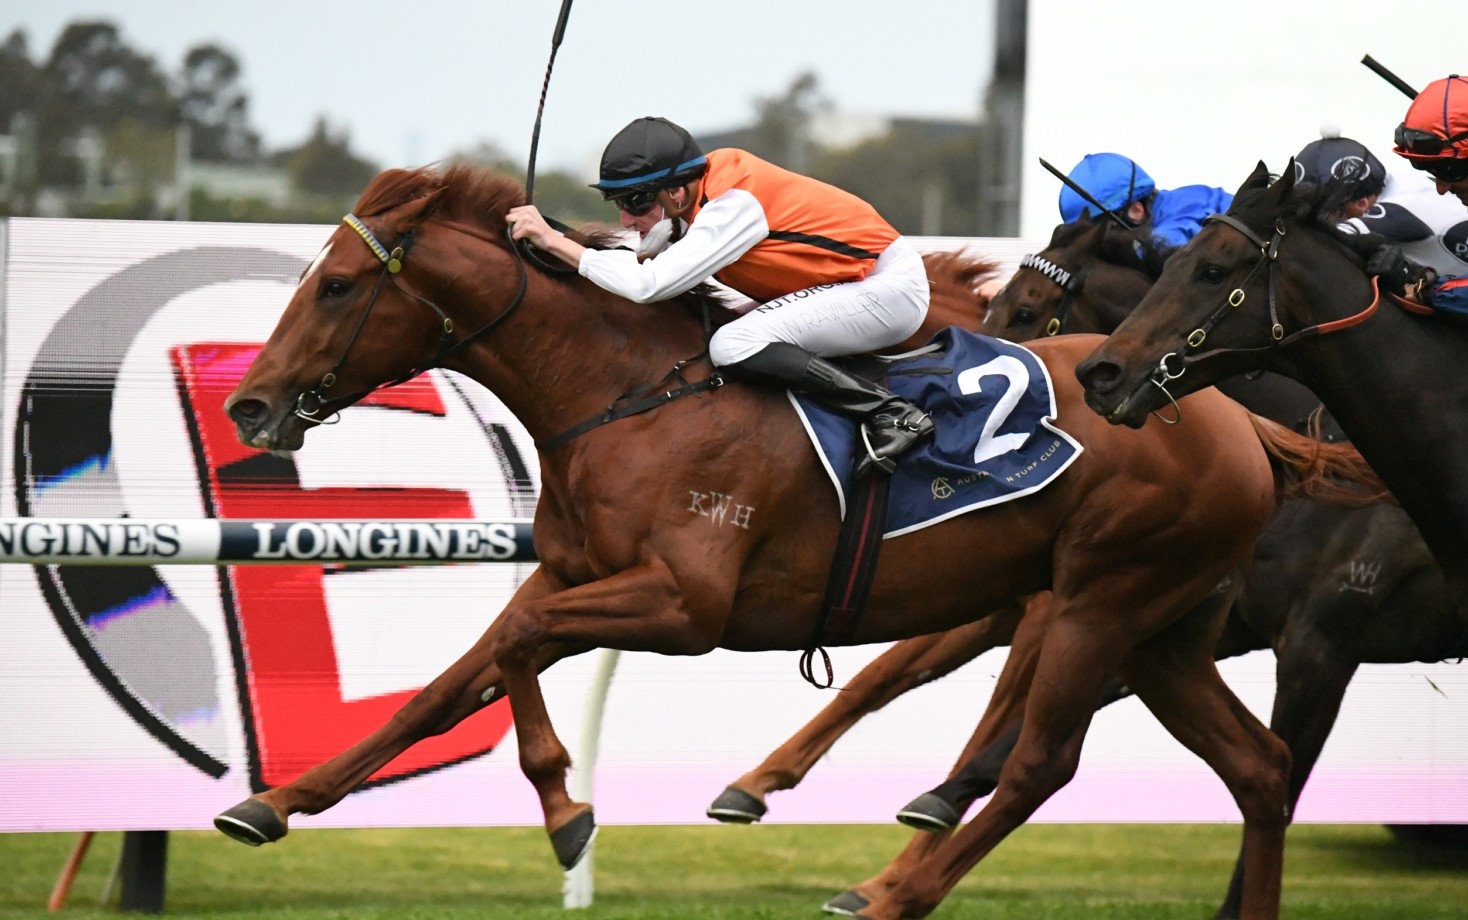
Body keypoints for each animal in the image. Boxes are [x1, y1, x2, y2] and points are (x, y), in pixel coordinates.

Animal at [214, 163, 1380, 920]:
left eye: (337, 285)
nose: (251, 405)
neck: (625, 394)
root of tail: (1235, 418)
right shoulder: (572, 572)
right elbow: (456, 680)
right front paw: (272, 802)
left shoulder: (683, 604)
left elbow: (514, 650)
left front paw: (567, 813)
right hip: (1166, 626)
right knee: (1262, 767)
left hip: (1103, 600)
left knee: (1043, 760)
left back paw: (886, 890)